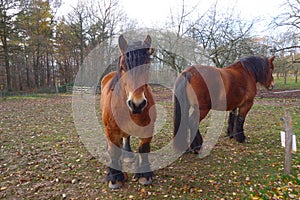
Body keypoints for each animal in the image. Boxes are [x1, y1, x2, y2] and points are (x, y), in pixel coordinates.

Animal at [101, 34, 157, 189]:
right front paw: (115, 177)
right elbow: (113, 151)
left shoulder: (148, 129)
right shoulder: (111, 130)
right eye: (123, 67)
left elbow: (144, 149)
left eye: (147, 66)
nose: (137, 104)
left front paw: (144, 175)